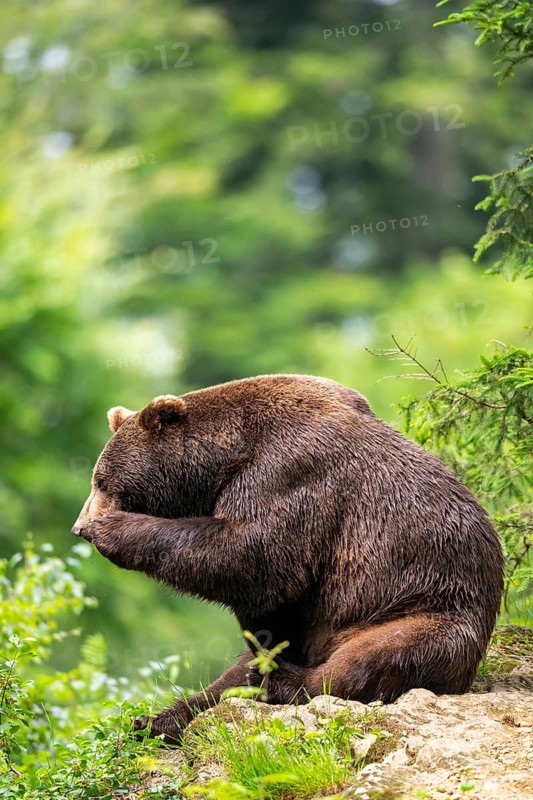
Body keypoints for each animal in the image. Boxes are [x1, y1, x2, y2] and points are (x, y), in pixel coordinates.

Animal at [72, 374, 504, 744]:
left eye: (101, 481)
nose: (79, 526)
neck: (225, 459)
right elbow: (270, 608)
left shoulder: (288, 473)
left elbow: (253, 557)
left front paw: (115, 530)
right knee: (231, 674)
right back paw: (159, 719)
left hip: (421, 605)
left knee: (376, 656)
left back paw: (282, 683)